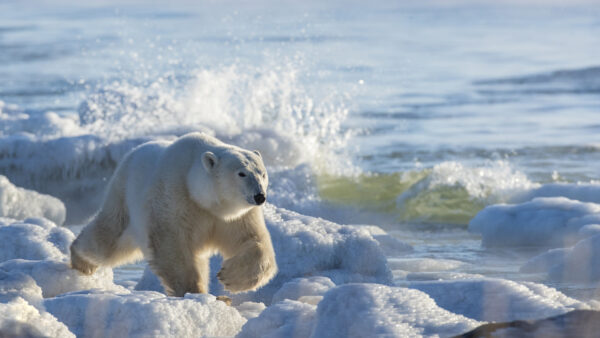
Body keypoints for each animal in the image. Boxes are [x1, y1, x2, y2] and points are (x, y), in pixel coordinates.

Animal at [69, 132, 276, 296]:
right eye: (241, 173)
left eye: (263, 173)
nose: (260, 196)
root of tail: (131, 154)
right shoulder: (174, 197)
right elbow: (173, 246)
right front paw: (193, 291)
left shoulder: (234, 216)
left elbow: (251, 240)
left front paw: (228, 277)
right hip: (124, 197)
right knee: (110, 240)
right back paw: (81, 261)